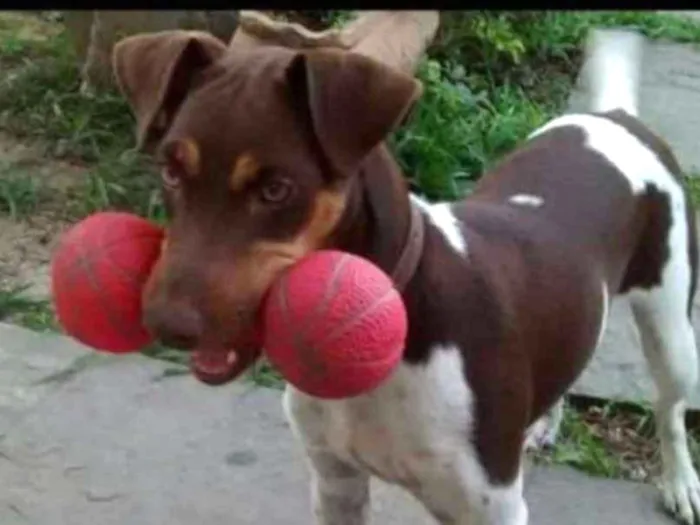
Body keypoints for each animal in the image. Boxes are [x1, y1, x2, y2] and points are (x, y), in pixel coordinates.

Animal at [112, 27, 700, 524]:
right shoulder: (335, 483)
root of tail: (616, 116)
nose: (165, 324)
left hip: (672, 331)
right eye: (170, 171)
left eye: (275, 189)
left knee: (669, 411)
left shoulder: (493, 509)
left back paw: (680, 484)